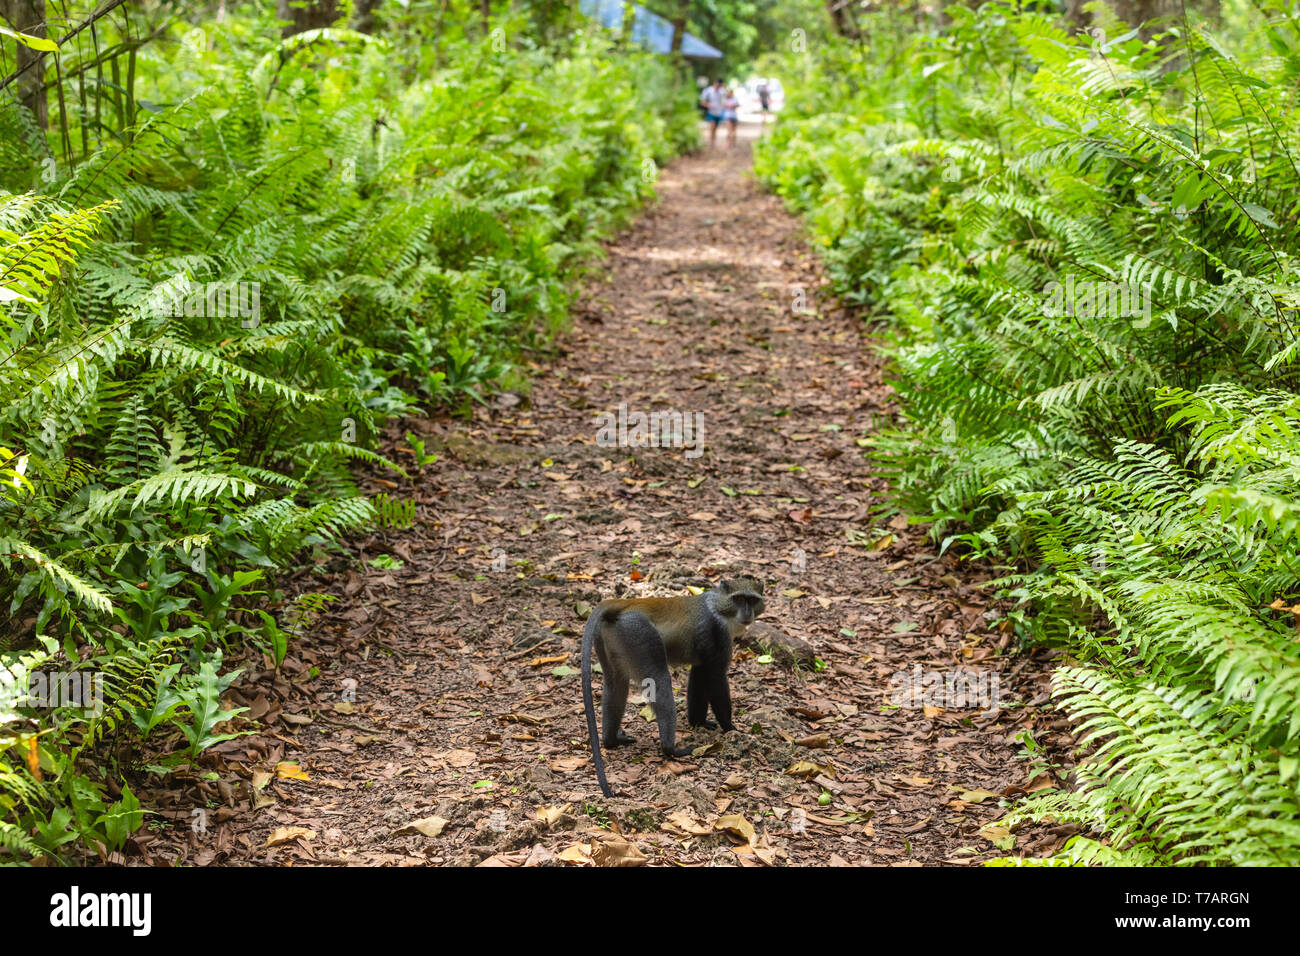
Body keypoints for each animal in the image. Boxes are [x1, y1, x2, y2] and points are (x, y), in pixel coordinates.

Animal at [580, 577, 765, 797]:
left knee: (615, 682)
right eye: (739, 599)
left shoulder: (704, 654)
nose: (747, 613)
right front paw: (731, 729)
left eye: (751, 600)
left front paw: (699, 722)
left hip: (610, 636)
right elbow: (716, 677)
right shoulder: (718, 634)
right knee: (659, 680)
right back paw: (671, 749)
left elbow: (699, 674)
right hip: (639, 633)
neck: (718, 606)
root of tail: (626, 604)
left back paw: (611, 740)